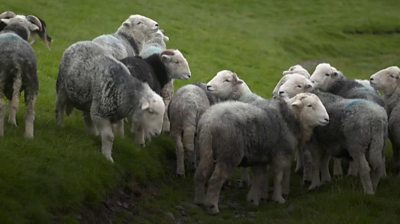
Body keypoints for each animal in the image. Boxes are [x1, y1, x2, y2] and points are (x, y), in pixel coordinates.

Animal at [194, 92, 328, 214]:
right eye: (310, 105)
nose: (327, 119)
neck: (289, 118)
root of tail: (208, 124)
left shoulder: (260, 157)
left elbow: (259, 177)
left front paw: (255, 198)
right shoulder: (280, 154)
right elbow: (278, 177)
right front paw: (278, 198)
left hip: (205, 150)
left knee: (201, 174)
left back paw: (200, 201)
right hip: (229, 153)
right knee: (215, 180)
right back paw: (212, 207)